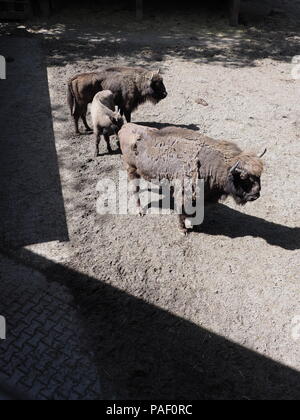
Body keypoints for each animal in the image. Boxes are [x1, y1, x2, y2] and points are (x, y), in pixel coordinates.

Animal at [118, 123, 266, 235]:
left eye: (259, 175)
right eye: (243, 177)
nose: (255, 195)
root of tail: (124, 127)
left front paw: (194, 224)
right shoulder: (184, 194)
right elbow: (181, 211)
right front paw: (183, 230)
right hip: (131, 169)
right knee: (134, 189)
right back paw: (140, 211)